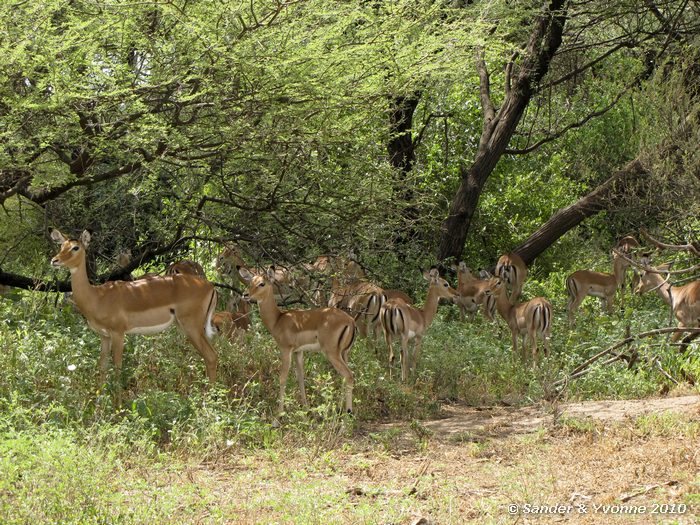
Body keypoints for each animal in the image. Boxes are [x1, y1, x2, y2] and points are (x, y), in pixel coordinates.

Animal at [50, 229, 218, 403]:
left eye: (75, 247)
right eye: (61, 245)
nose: (54, 260)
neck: (97, 297)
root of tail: (210, 286)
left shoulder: (118, 333)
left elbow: (117, 366)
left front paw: (117, 406)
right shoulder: (104, 336)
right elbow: (102, 366)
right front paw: (98, 405)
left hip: (192, 328)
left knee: (211, 356)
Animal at [239, 267, 356, 415]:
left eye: (262, 283)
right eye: (251, 282)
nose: (245, 294)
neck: (278, 319)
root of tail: (350, 320)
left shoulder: (286, 350)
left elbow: (282, 378)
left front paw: (279, 415)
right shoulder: (298, 352)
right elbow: (300, 377)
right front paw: (306, 409)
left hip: (332, 353)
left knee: (349, 375)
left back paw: (347, 413)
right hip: (344, 353)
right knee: (345, 377)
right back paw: (340, 410)